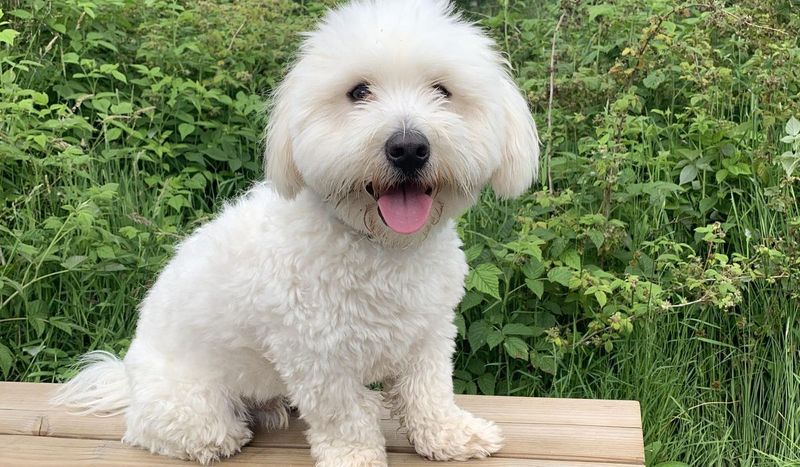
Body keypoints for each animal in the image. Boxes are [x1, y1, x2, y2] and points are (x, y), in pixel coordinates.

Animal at [53, 0, 540, 467]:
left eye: (442, 90)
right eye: (358, 92)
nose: (408, 148)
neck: (381, 248)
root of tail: (126, 380)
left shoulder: (429, 334)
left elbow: (429, 394)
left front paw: (451, 437)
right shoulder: (317, 355)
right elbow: (345, 415)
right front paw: (354, 456)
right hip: (190, 402)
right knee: (169, 430)